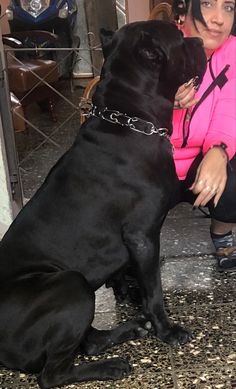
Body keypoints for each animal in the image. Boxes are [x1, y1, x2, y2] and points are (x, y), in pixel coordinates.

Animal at [0, 20, 206, 388]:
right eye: (180, 39)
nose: (198, 40)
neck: (129, 120)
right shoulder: (142, 235)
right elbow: (155, 290)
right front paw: (166, 329)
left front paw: (128, 292)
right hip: (71, 285)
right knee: (52, 374)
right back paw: (112, 365)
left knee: (89, 343)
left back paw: (129, 330)